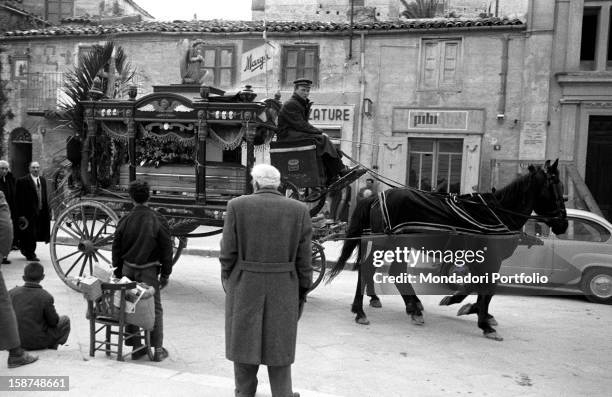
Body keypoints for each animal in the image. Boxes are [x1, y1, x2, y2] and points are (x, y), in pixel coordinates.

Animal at [330, 159, 568, 338]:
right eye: (555, 186)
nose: (563, 224)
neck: (496, 214)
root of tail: (375, 197)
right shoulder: (488, 259)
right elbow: (486, 287)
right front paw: (482, 320)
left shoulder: (482, 260)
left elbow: (478, 286)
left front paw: (473, 309)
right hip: (388, 242)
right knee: (374, 270)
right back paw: (363, 310)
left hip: (395, 244)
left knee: (392, 272)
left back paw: (409, 306)